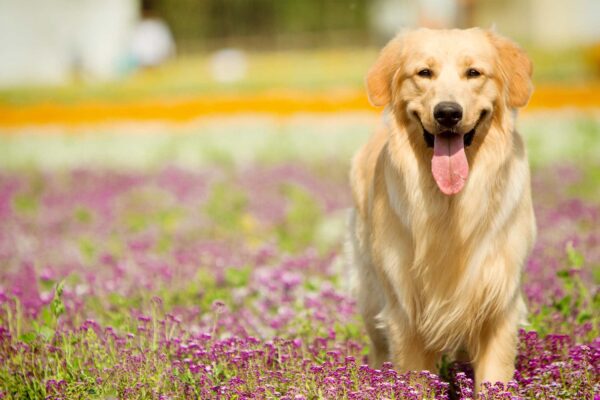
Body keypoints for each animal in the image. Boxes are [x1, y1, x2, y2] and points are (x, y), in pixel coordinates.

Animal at [350, 28, 536, 390]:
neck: (451, 206)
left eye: (474, 73)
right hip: (372, 295)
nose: (447, 113)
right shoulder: (404, 313)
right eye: (424, 73)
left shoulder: (499, 305)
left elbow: (493, 380)